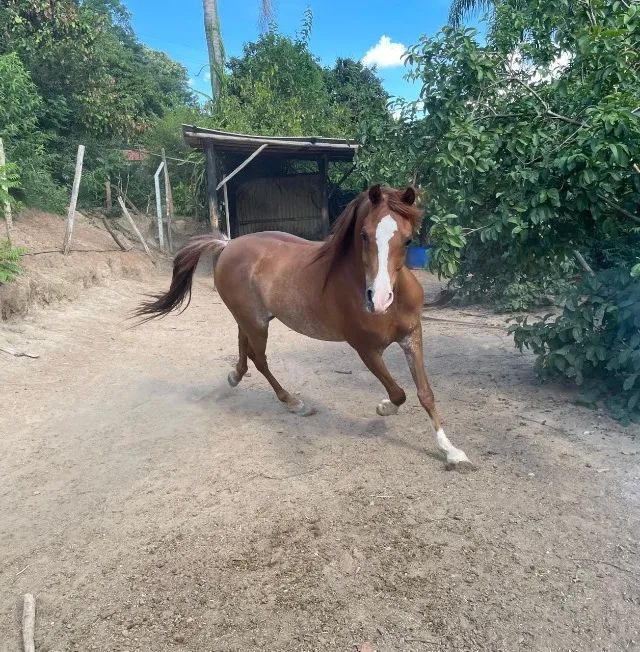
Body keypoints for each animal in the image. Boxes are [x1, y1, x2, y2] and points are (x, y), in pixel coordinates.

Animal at [135, 184, 471, 468]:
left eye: (408, 239)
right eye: (364, 235)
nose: (379, 299)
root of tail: (227, 244)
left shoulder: (412, 336)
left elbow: (425, 393)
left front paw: (451, 452)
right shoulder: (365, 349)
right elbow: (398, 392)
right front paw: (383, 408)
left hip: (252, 317)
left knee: (243, 346)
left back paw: (234, 376)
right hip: (257, 323)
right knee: (259, 358)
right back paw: (294, 403)